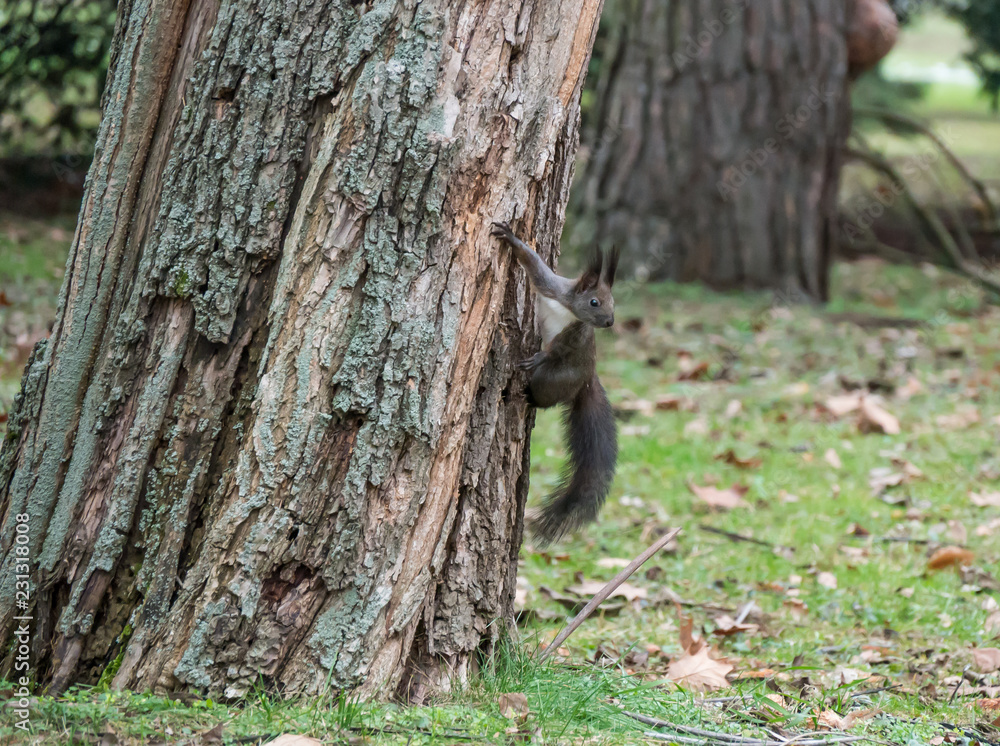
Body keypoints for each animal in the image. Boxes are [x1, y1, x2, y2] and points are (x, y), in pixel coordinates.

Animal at [491, 221, 619, 544]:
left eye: (614, 303)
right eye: (595, 301)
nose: (610, 322)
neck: (570, 309)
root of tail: (587, 381)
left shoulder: (574, 336)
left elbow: (555, 352)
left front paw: (536, 358)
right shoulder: (551, 286)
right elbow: (534, 267)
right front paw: (511, 238)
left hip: (555, 379)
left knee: (547, 394)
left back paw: (530, 396)